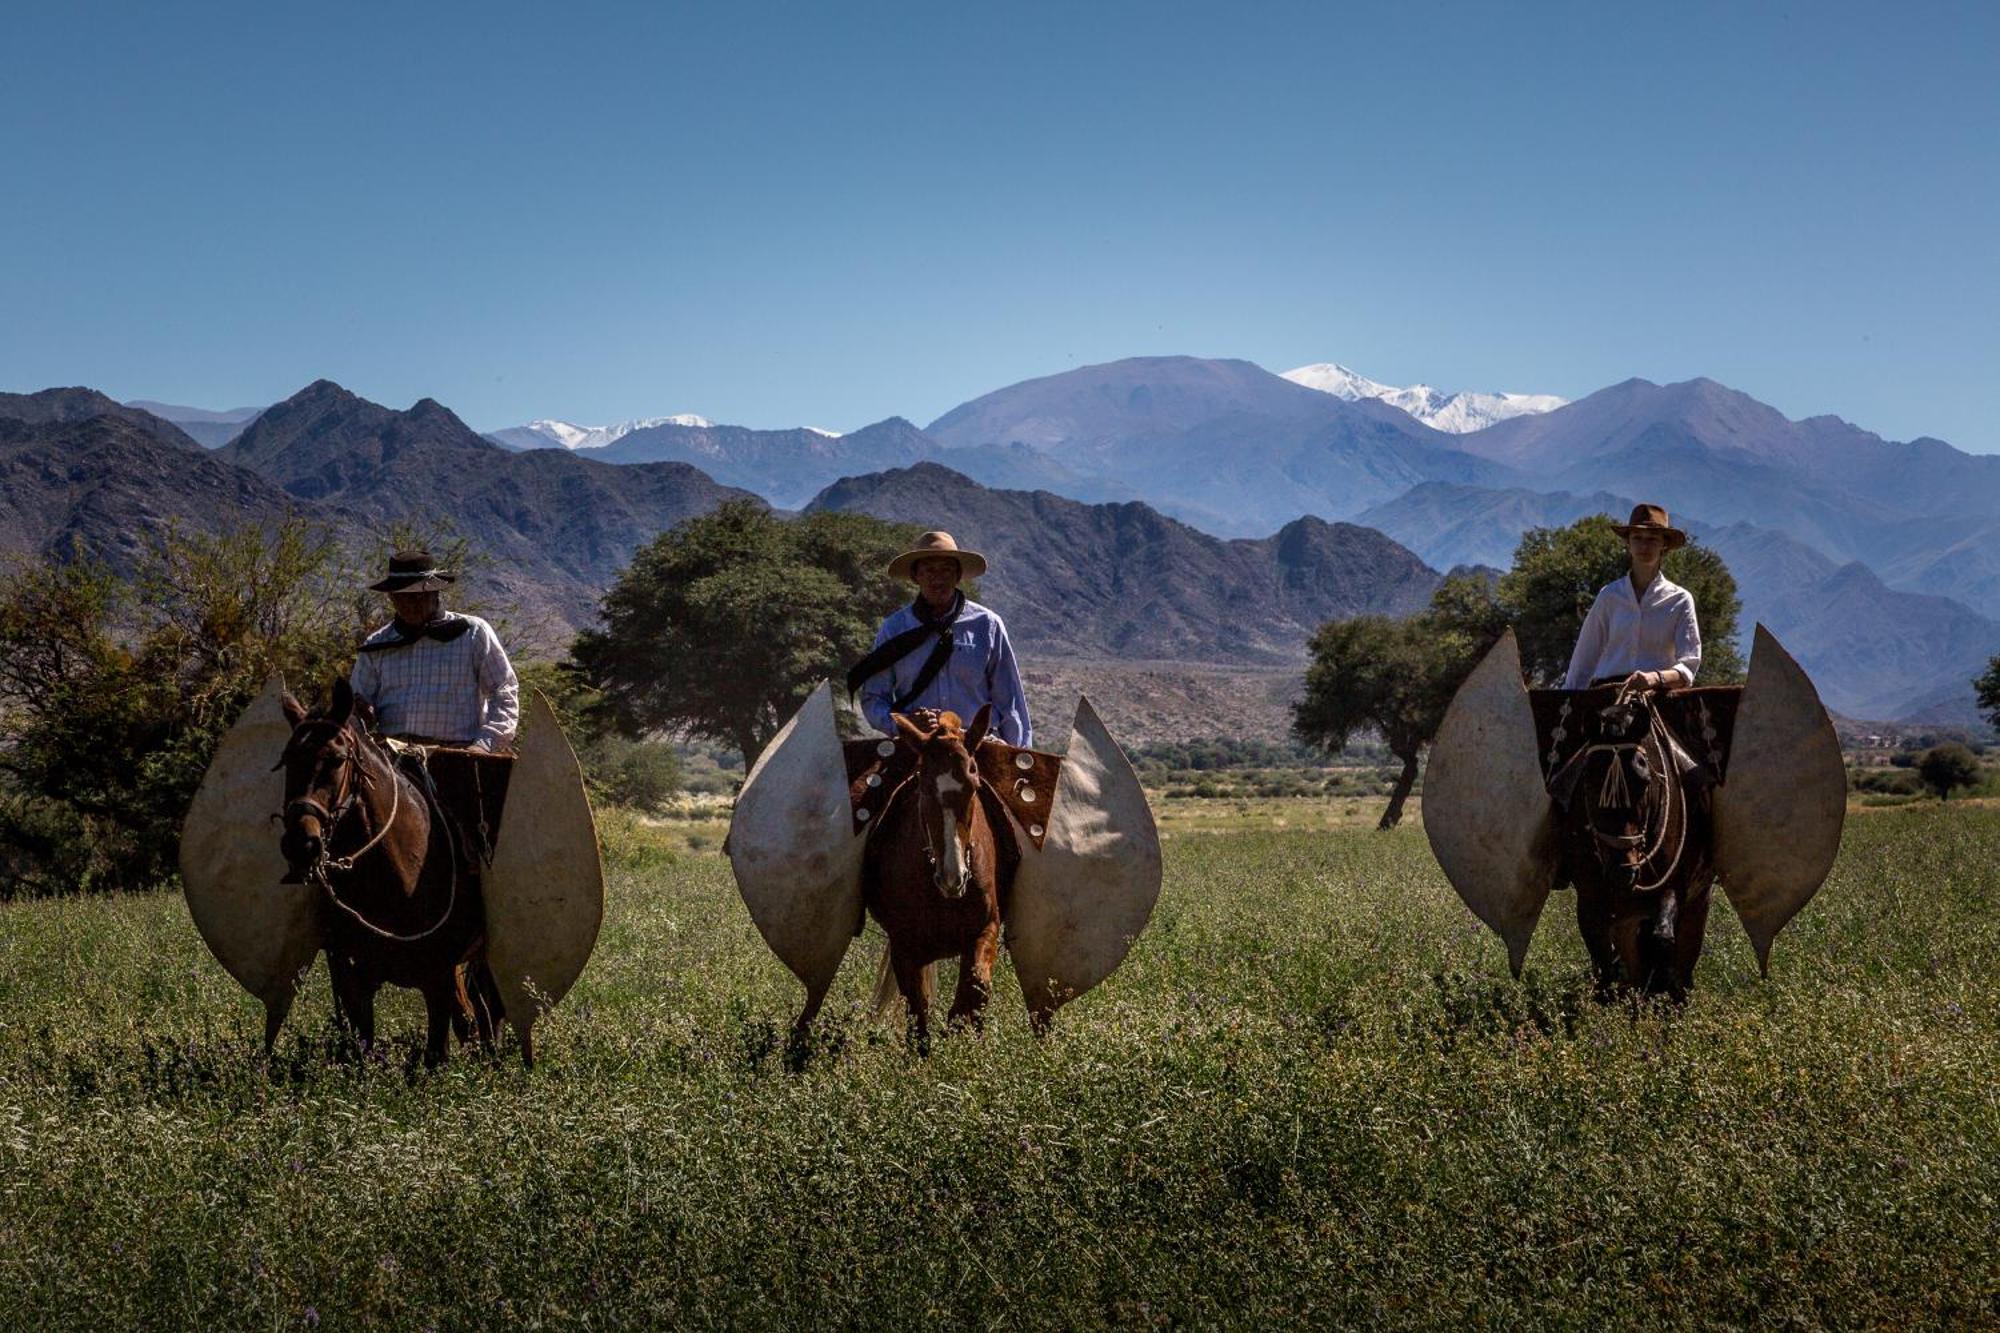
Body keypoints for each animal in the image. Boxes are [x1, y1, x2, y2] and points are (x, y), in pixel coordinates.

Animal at [274, 680, 504, 1064]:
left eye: (337, 760)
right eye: (289, 759)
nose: (300, 844)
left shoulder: (438, 977)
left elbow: (436, 1052)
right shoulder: (351, 977)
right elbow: (362, 1048)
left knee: (486, 1011)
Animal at [864, 700, 1008, 1040]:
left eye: (974, 784)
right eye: (924, 786)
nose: (953, 878)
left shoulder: (985, 930)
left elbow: (975, 990)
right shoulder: (905, 948)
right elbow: (919, 1017)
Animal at [1544, 684, 1720, 996]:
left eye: (1644, 779)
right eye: (1588, 780)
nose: (1622, 871)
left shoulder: (1674, 886)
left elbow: (1663, 939)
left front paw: (1659, 989)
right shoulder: (1590, 898)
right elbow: (1604, 962)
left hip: (1698, 902)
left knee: (1681, 954)